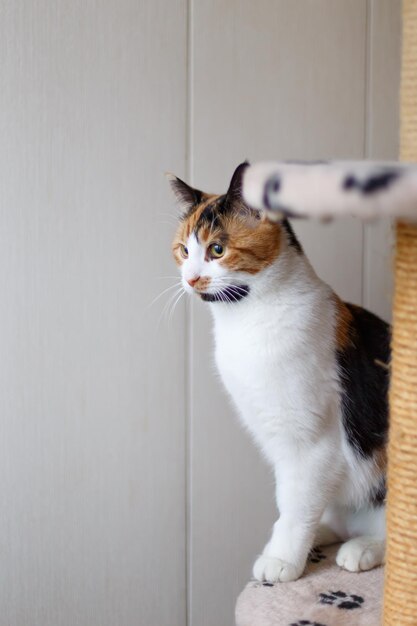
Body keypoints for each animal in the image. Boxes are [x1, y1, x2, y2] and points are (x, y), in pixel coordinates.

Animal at [167, 161, 388, 580]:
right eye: (184, 250)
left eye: (217, 249)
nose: (191, 278)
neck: (246, 321)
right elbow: (290, 501)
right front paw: (283, 544)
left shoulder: (310, 442)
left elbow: (297, 503)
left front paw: (282, 559)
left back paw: (363, 548)